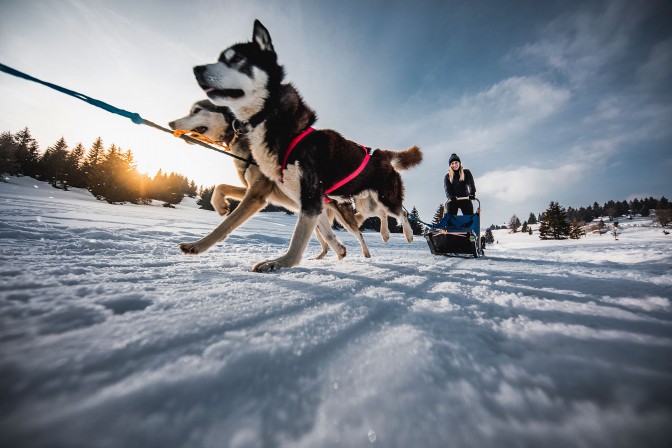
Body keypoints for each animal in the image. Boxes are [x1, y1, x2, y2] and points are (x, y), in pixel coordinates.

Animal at [165, 100, 370, 258]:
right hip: (317, 218)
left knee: (359, 235)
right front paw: (221, 205)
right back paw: (335, 252)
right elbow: (221, 186)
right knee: (329, 239)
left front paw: (197, 246)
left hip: (344, 218)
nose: (170, 123)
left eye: (196, 110)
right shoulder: (256, 189)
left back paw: (366, 256)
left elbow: (226, 225)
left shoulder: (256, 195)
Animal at [193, 20, 420, 272]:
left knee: (400, 212)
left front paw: (279, 263)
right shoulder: (304, 200)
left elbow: (298, 240)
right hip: (365, 201)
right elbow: (324, 235)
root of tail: (383, 156)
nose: (197, 69)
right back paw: (385, 234)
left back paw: (408, 235)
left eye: (237, 59)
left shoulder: (309, 198)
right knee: (380, 213)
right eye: (220, 58)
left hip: (384, 197)